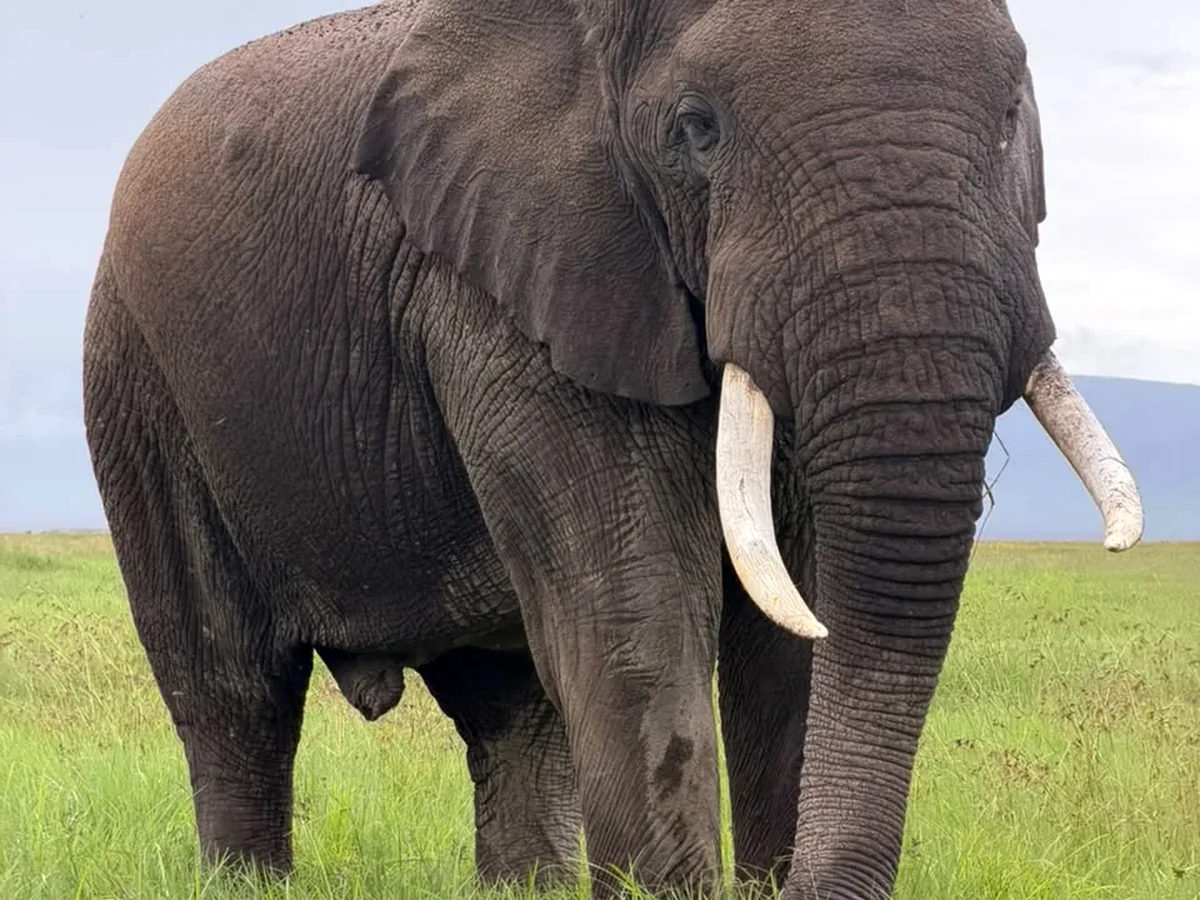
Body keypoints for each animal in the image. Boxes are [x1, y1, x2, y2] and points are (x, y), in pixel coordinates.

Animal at [81, 0, 1144, 897]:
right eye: (696, 130)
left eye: (1012, 117)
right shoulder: (516, 279)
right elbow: (641, 611)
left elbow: (792, 626)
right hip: (138, 377)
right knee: (231, 688)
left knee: (508, 708)